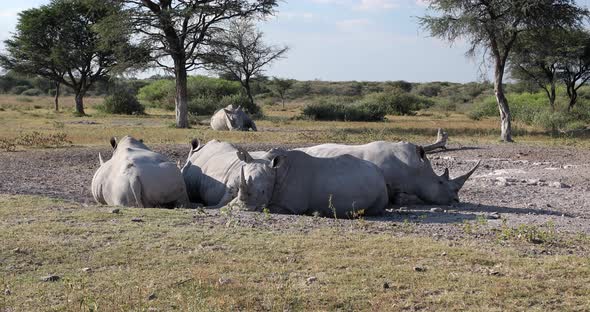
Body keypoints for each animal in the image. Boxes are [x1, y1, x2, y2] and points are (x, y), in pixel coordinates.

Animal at [231, 148, 394, 217]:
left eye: (263, 191)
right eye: (238, 186)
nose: (246, 209)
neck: (276, 171)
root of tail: (379, 171)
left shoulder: (291, 206)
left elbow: (270, 208)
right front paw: (233, 206)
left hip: (381, 187)